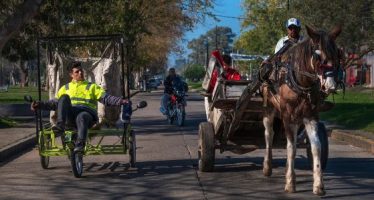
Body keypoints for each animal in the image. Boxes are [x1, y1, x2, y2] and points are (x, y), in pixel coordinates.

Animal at [262, 25, 340, 195]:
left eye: (337, 54)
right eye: (318, 56)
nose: (331, 86)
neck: (301, 82)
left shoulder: (311, 116)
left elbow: (316, 147)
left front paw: (318, 185)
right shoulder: (288, 117)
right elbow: (291, 148)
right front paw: (290, 182)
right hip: (269, 109)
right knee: (269, 135)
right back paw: (267, 166)